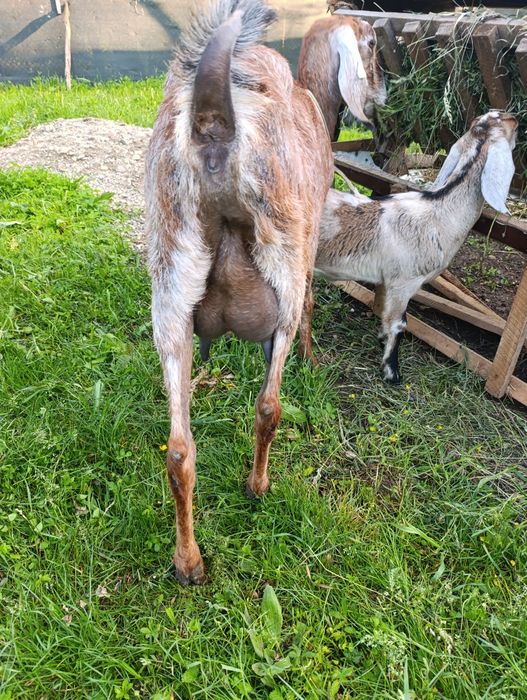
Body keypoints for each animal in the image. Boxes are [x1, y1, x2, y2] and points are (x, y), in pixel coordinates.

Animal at [145, 0, 334, 584]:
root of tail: (213, 128)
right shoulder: (306, 254)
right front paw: (314, 358)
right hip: (284, 274)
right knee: (269, 405)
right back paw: (257, 487)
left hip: (170, 293)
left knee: (179, 450)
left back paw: (188, 562)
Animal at [315, 111, 518, 383]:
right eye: (510, 123)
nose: (519, 119)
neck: (440, 211)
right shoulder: (404, 282)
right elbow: (399, 323)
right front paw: (392, 372)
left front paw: (382, 339)